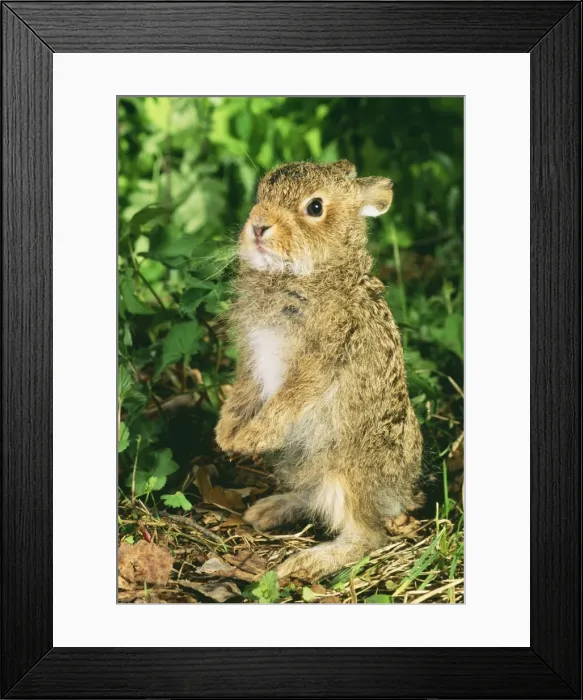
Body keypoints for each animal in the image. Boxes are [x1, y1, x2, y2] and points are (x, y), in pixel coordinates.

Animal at [215, 160, 423, 581]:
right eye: (261, 193)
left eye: (314, 208)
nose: (258, 226)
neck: (308, 275)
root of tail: (400, 491)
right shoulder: (252, 357)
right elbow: (243, 391)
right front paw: (226, 436)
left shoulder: (318, 365)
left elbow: (287, 400)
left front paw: (250, 440)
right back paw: (267, 510)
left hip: (347, 470)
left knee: (366, 538)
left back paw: (303, 563)